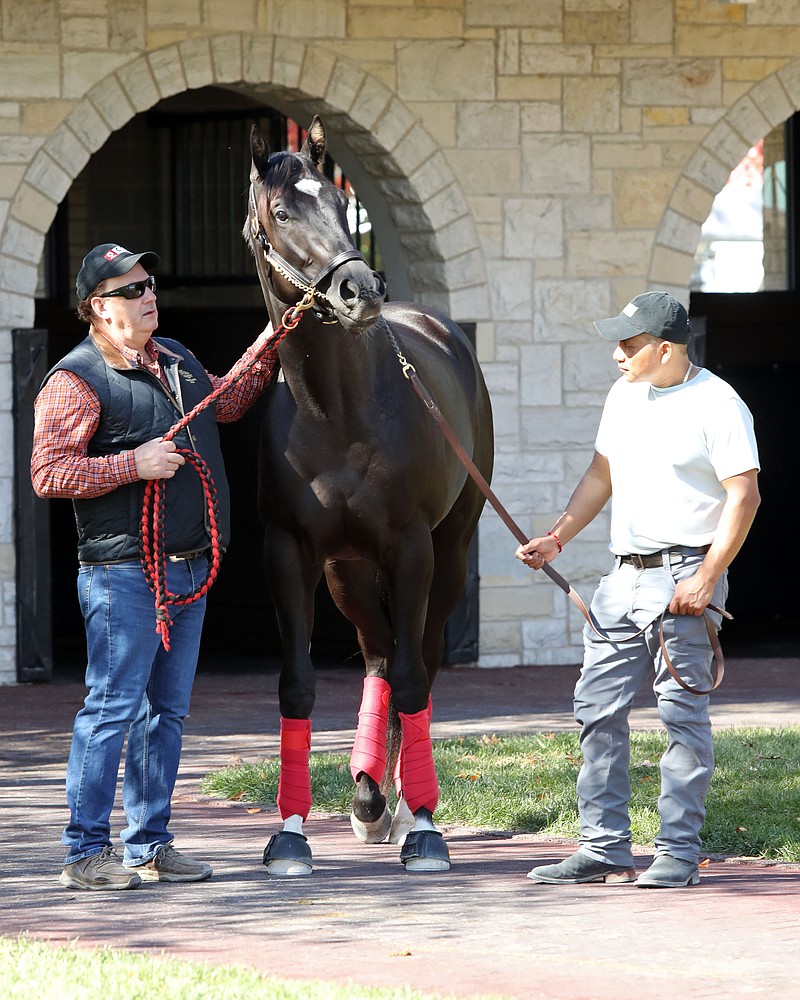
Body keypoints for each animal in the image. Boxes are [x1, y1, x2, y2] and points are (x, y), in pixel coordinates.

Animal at [244, 117, 494, 876]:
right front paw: (290, 834)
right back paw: (369, 799)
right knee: (380, 655)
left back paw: (408, 805)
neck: (337, 409)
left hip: (446, 553)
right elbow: (297, 684)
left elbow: (415, 678)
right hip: (348, 571)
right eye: (281, 211)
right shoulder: (290, 552)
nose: (359, 289)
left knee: (420, 657)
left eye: (337, 197)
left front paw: (426, 830)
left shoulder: (412, 547)